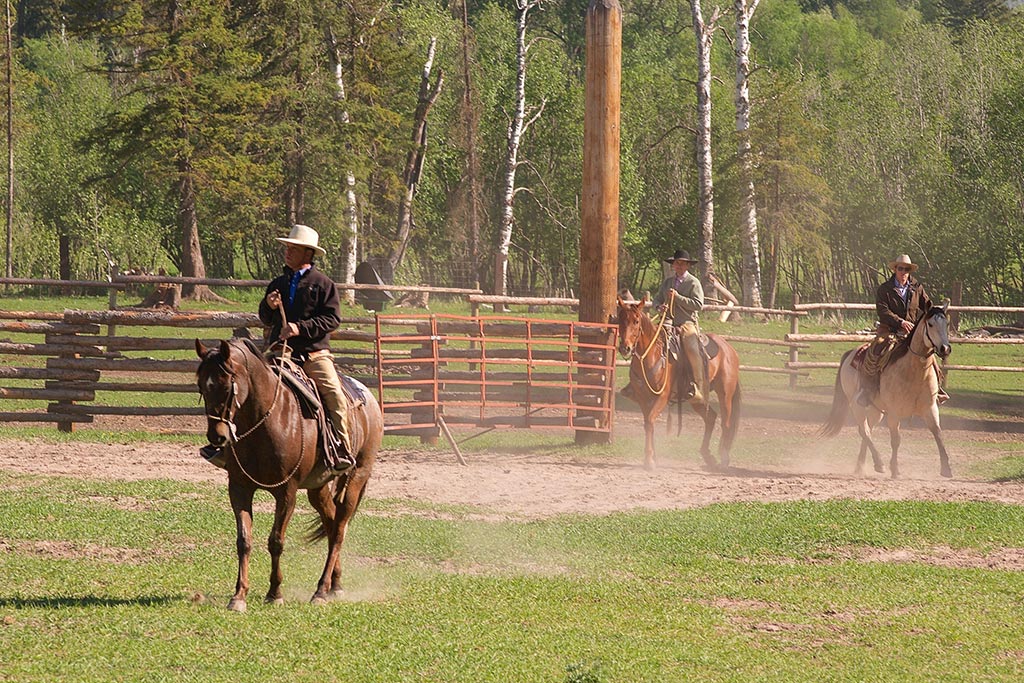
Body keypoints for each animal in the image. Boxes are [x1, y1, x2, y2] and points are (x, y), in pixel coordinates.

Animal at [193, 339, 382, 610]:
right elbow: (244, 541)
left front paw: (275, 593)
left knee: (339, 531)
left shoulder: (287, 492)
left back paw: (321, 591)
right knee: (331, 523)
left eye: (227, 385)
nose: (217, 436)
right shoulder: (239, 488)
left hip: (356, 478)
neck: (266, 421)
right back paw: (335, 585)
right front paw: (239, 596)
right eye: (201, 385)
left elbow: (276, 541)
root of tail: (368, 397)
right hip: (318, 487)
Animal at [610, 296, 741, 473]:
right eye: (621, 320)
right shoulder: (643, 399)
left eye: (636, 321)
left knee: (726, 423)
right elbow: (648, 424)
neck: (652, 356)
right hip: (698, 399)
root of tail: (729, 349)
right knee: (710, 418)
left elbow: (650, 421)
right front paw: (652, 458)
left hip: (725, 394)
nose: (625, 348)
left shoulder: (662, 397)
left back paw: (724, 459)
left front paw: (649, 460)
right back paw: (708, 456)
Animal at [819, 301, 954, 479]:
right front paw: (895, 469)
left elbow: (938, 434)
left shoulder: (930, 408)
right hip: (856, 405)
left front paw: (946, 468)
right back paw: (879, 463)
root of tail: (850, 354)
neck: (914, 372)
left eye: (946, 324)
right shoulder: (894, 412)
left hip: (877, 411)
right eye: (930, 324)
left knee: (868, 429)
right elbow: (896, 440)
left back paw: (861, 466)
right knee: (864, 431)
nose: (945, 348)